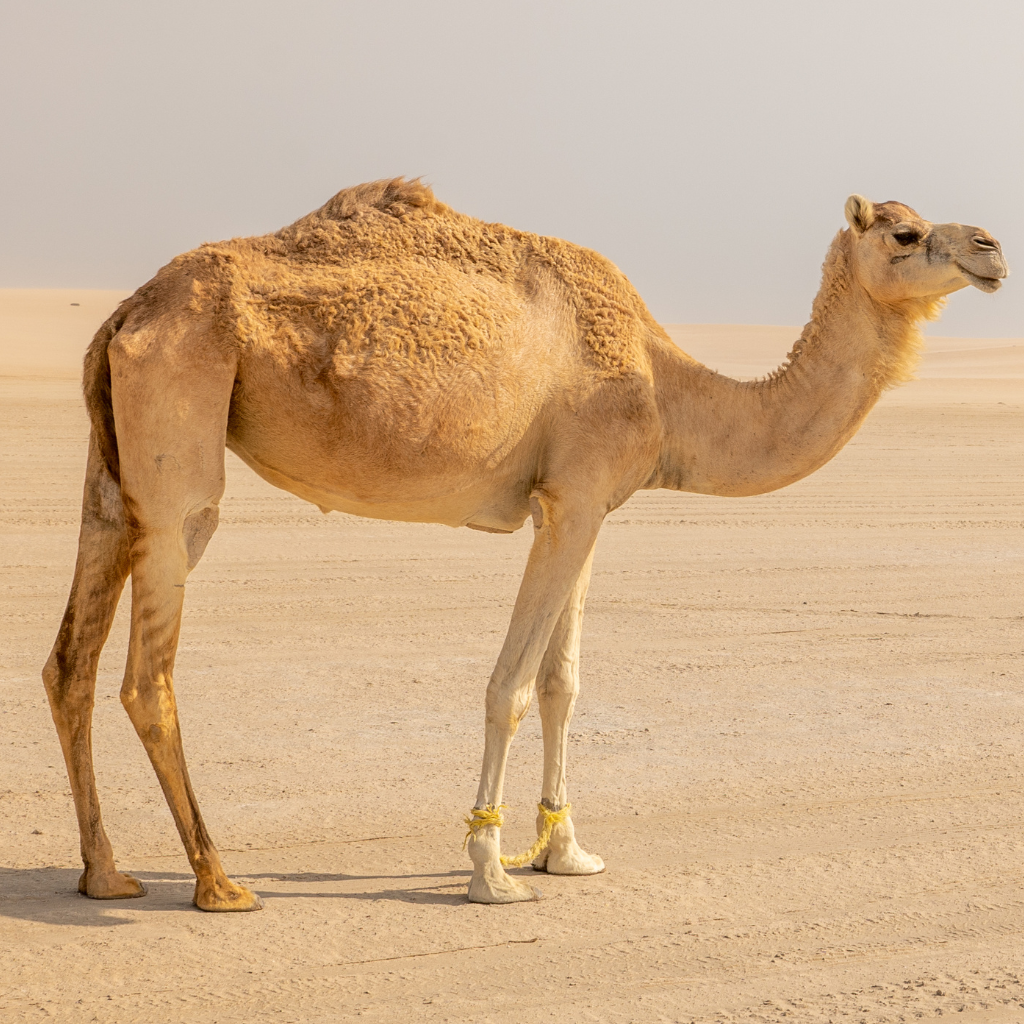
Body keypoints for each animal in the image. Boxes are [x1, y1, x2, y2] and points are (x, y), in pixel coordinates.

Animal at [43, 180, 1007, 912]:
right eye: (905, 232)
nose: (993, 248)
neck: (669, 390)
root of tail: (129, 311)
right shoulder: (576, 496)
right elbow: (508, 686)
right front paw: (490, 871)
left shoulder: (576, 507)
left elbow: (561, 682)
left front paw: (566, 850)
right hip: (183, 421)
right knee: (149, 666)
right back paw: (218, 881)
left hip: (113, 461)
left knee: (70, 658)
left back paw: (106, 874)